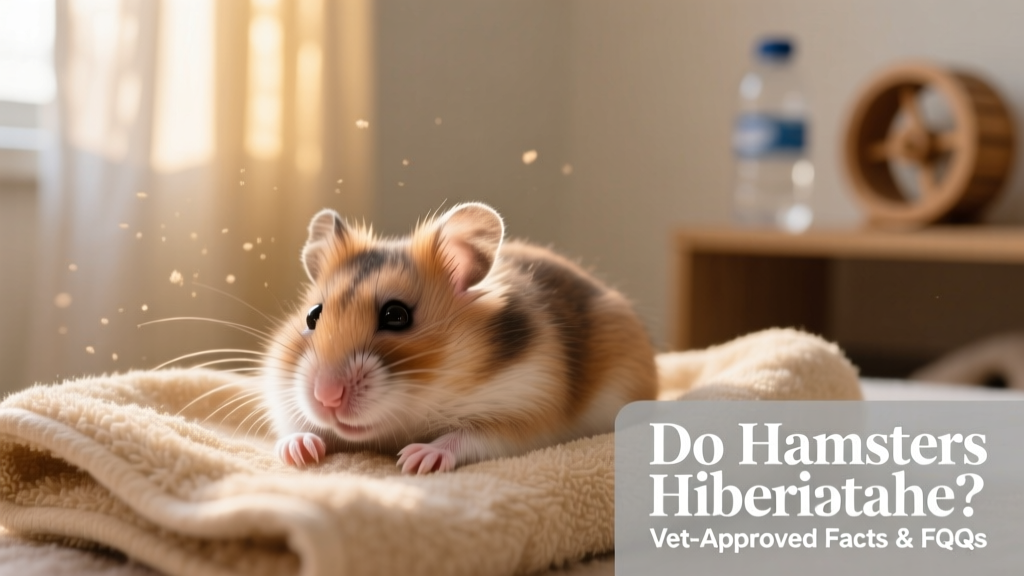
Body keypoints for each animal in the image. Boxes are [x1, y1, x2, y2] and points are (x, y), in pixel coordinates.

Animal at [262, 202, 657, 474]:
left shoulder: (527, 408)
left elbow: (468, 437)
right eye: (313, 315)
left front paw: (416, 460)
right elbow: (295, 425)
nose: (326, 397)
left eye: (396, 316)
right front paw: (299, 452)